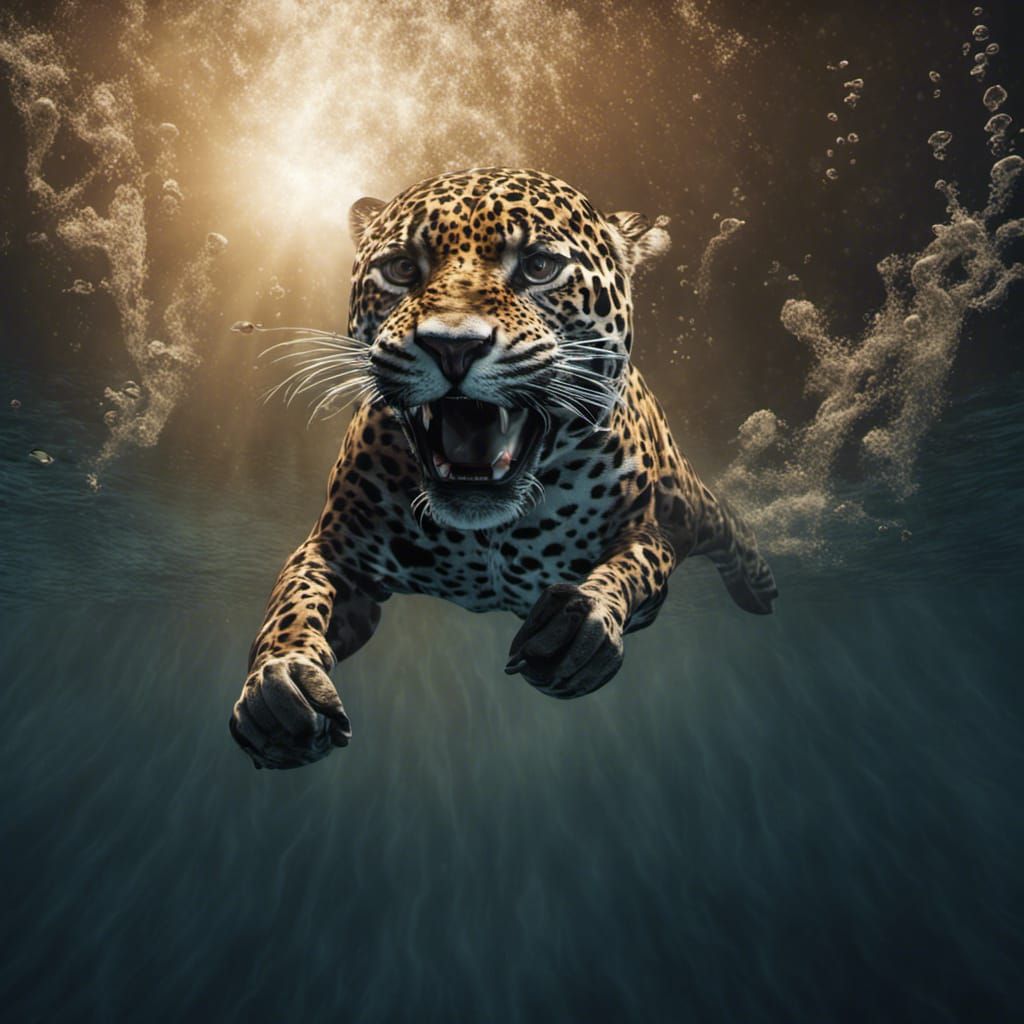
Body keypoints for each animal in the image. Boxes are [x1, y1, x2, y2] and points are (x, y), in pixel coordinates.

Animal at [229, 166, 778, 770]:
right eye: (401, 269)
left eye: (538, 267)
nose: (453, 346)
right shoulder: (337, 552)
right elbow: (294, 601)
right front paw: (278, 686)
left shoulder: (648, 530)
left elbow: (630, 570)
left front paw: (583, 625)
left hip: (684, 499)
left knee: (723, 520)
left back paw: (760, 589)